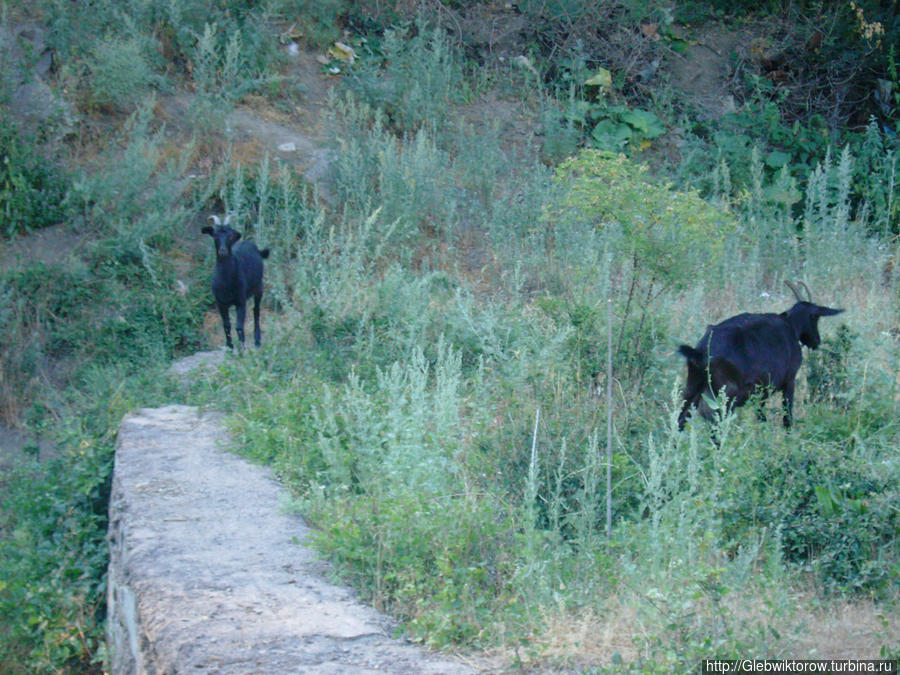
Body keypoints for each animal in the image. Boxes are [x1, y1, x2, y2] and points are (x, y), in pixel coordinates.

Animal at [203, 217, 270, 352]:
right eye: (215, 235)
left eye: (230, 236)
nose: (223, 251)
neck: (226, 282)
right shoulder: (220, 303)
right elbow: (226, 325)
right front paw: (230, 346)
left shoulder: (241, 301)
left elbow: (239, 326)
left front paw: (241, 347)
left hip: (259, 288)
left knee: (256, 311)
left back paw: (257, 340)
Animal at [680, 282, 848, 430]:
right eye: (815, 317)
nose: (816, 341)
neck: (791, 326)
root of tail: (701, 352)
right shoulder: (789, 380)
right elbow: (787, 415)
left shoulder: (762, 391)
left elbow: (761, 415)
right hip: (726, 395)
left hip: (692, 388)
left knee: (681, 418)